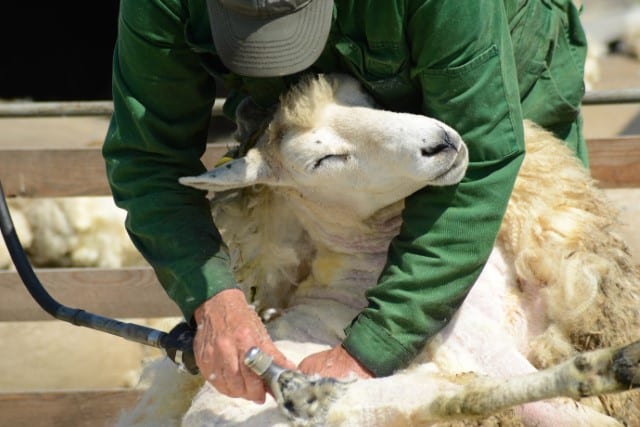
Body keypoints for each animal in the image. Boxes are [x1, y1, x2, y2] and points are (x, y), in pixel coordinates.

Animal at [121, 75, 640, 426]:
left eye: (366, 96)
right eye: (323, 159)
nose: (440, 143)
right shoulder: (476, 346)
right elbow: (578, 416)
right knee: (462, 396)